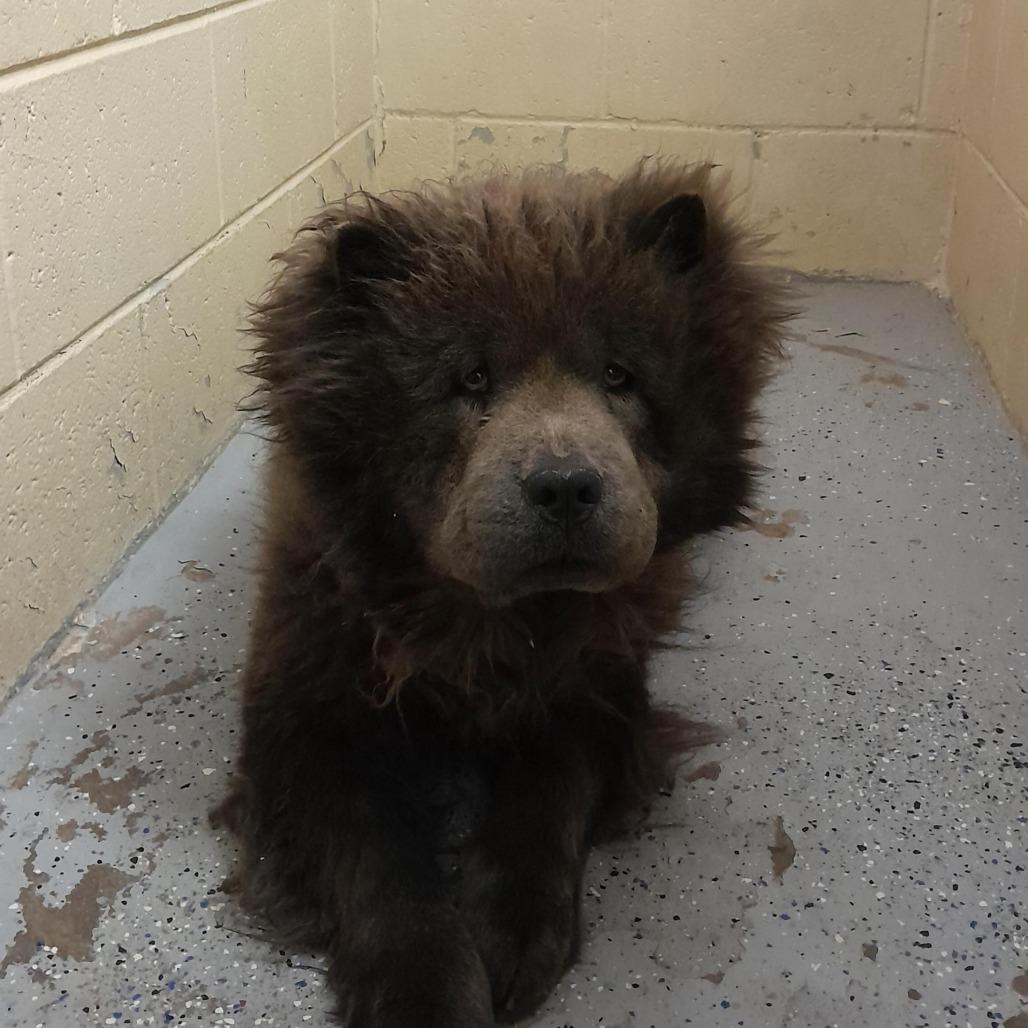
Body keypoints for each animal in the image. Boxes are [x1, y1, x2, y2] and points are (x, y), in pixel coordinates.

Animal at [211, 159, 792, 1026]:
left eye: (618, 376)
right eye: (470, 380)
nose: (565, 486)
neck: (482, 630)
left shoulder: (592, 687)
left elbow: (545, 799)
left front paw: (512, 936)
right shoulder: (313, 715)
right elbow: (377, 861)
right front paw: (424, 992)